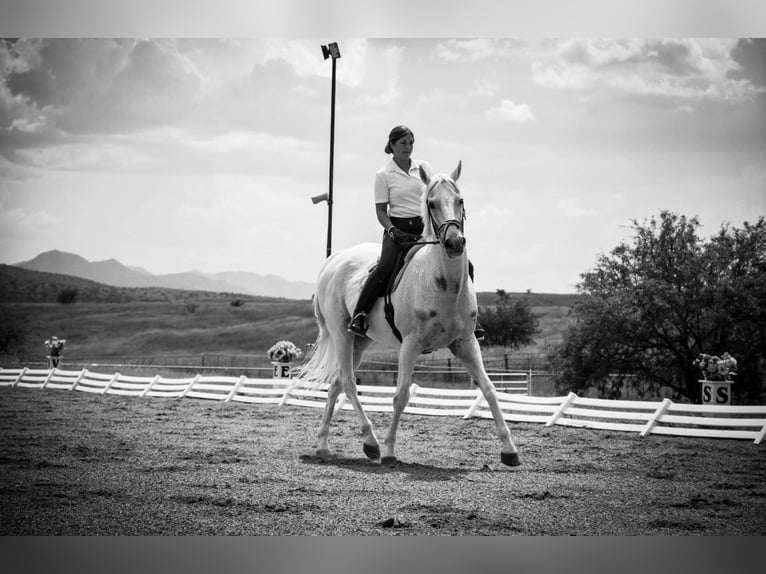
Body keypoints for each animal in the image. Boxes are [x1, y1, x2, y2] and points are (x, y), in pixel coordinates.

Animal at [297, 161, 520, 467]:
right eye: (431, 203)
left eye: (460, 200)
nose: (455, 243)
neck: (443, 284)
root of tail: (334, 260)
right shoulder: (411, 345)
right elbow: (400, 395)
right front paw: (390, 451)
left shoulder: (465, 343)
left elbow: (488, 389)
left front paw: (510, 450)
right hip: (342, 334)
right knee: (349, 384)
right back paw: (372, 443)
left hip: (360, 342)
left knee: (335, 384)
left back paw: (323, 446)